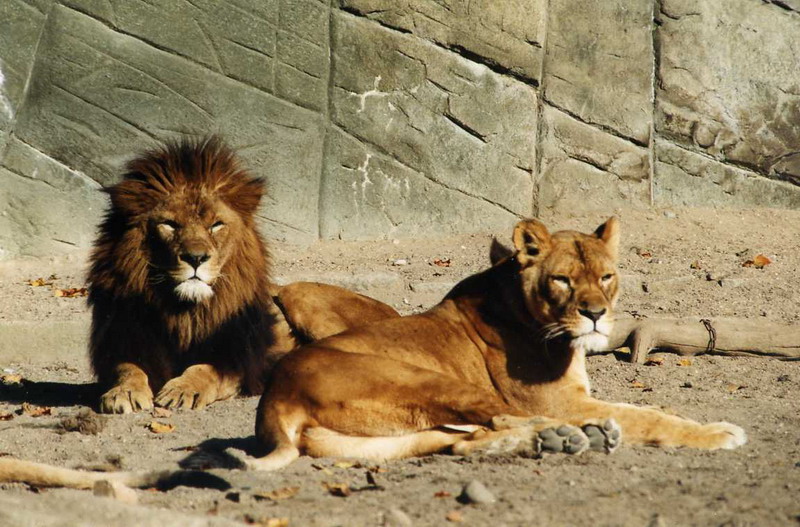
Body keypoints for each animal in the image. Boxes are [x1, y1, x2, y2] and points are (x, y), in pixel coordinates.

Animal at [233, 217, 747, 470]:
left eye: (606, 277)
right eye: (562, 280)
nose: (596, 314)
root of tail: (275, 399)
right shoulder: (560, 400)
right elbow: (649, 415)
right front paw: (717, 432)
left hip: (388, 439)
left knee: (463, 443)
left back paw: (558, 442)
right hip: (426, 381)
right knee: (505, 418)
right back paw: (581, 435)